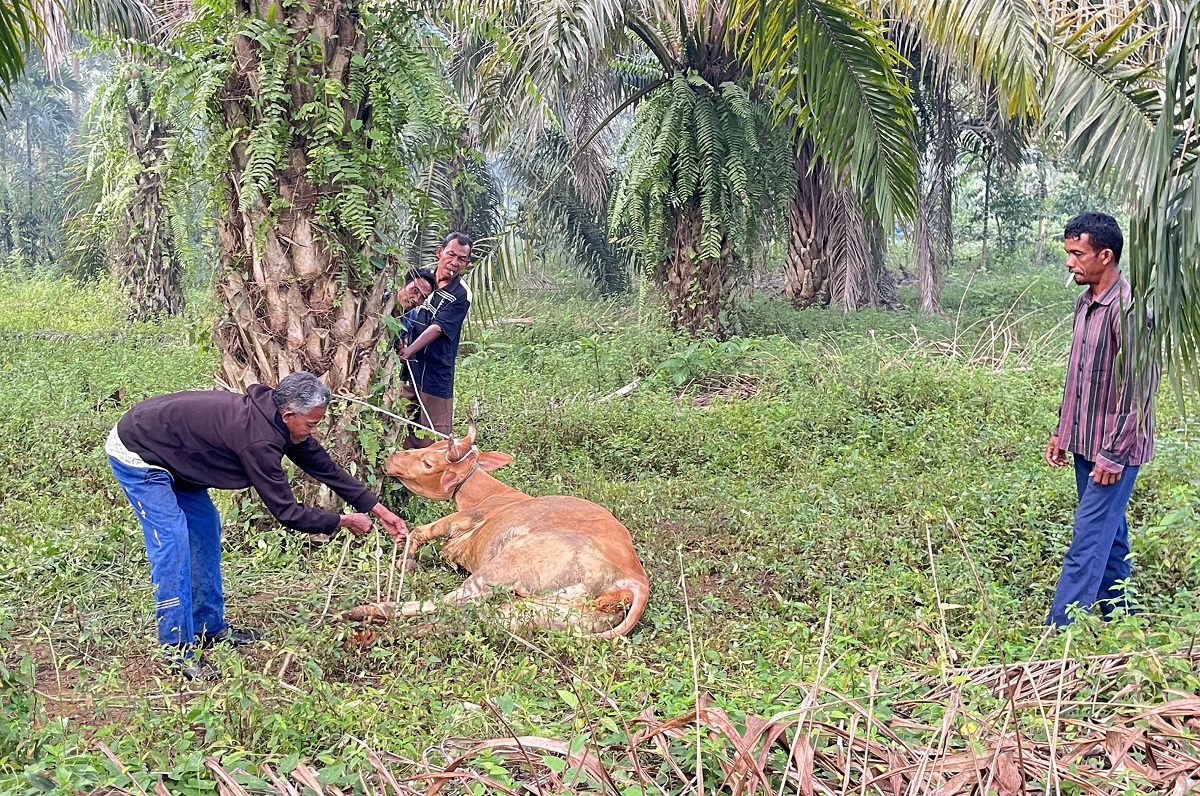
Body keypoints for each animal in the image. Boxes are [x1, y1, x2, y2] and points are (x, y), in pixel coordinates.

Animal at [343, 424, 650, 638]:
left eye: (428, 462)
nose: (392, 457)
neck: (489, 493)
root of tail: (635, 580)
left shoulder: (463, 519)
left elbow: (420, 531)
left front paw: (404, 559)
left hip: (504, 565)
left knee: (452, 603)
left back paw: (369, 612)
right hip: (544, 612)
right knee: (476, 618)